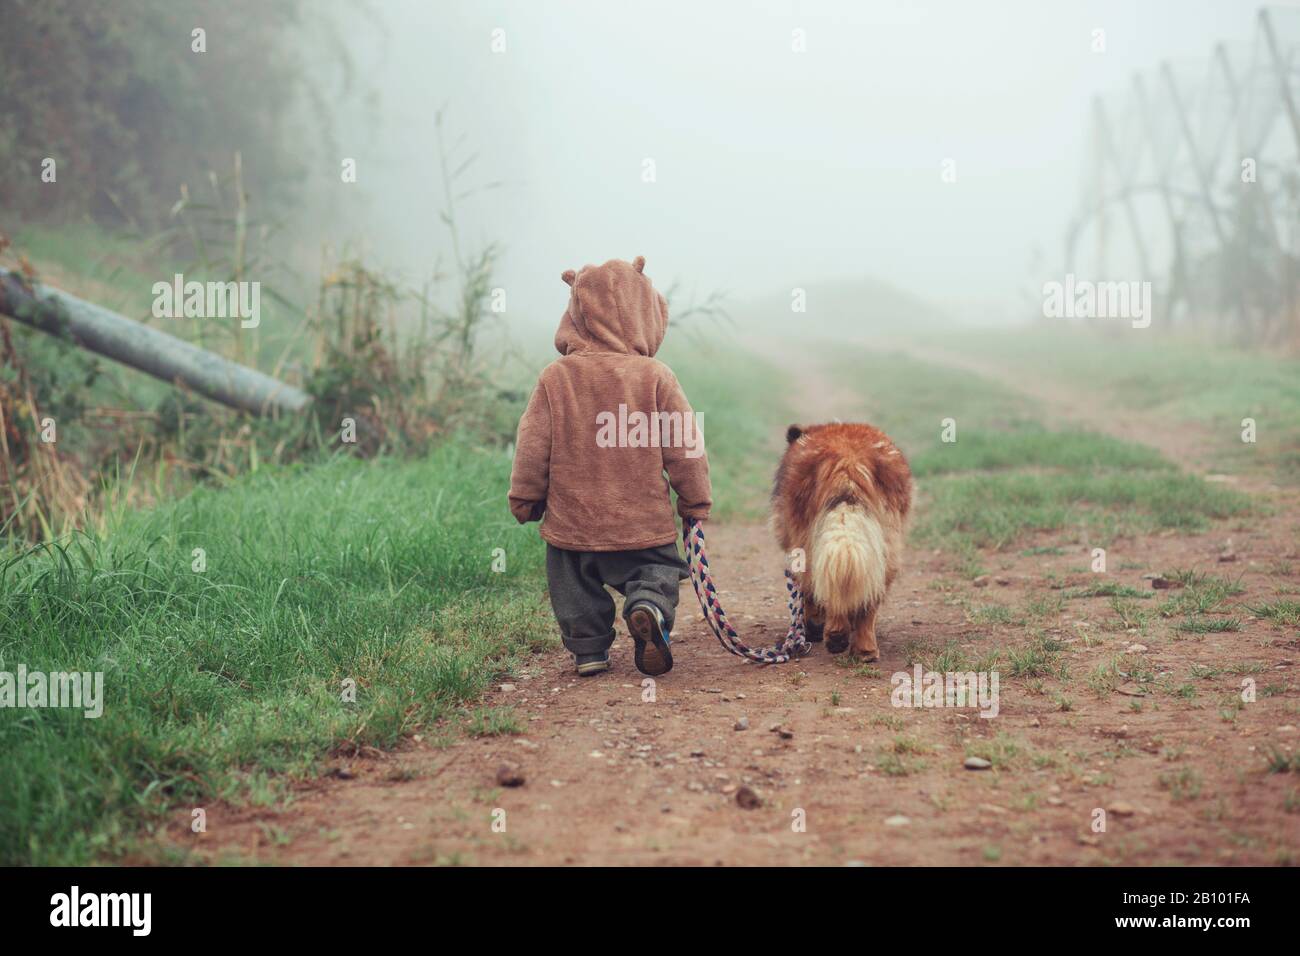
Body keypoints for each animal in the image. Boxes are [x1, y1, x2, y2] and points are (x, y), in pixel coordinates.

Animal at [769, 424, 915, 658]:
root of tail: (848, 463)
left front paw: (813, 627)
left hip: (806, 545)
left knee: (823, 587)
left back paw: (834, 635)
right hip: (886, 546)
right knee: (869, 597)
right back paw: (865, 648)